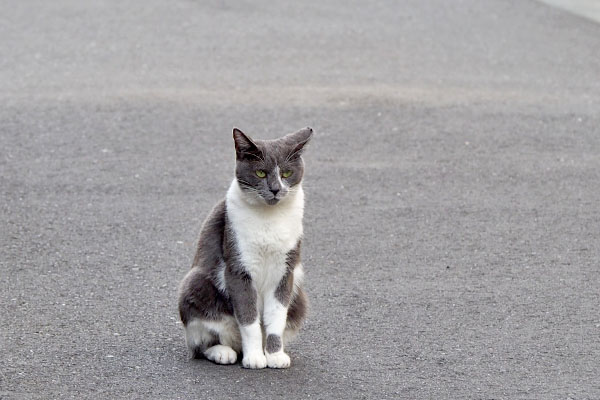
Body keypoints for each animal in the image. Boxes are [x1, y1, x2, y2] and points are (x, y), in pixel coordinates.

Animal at [178, 127, 314, 368]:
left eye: (286, 173)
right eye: (260, 173)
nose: (275, 189)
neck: (269, 218)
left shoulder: (285, 271)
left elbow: (276, 318)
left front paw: (275, 356)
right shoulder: (238, 268)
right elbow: (249, 319)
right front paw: (254, 358)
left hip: (300, 300)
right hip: (195, 283)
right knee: (200, 344)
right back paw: (224, 352)